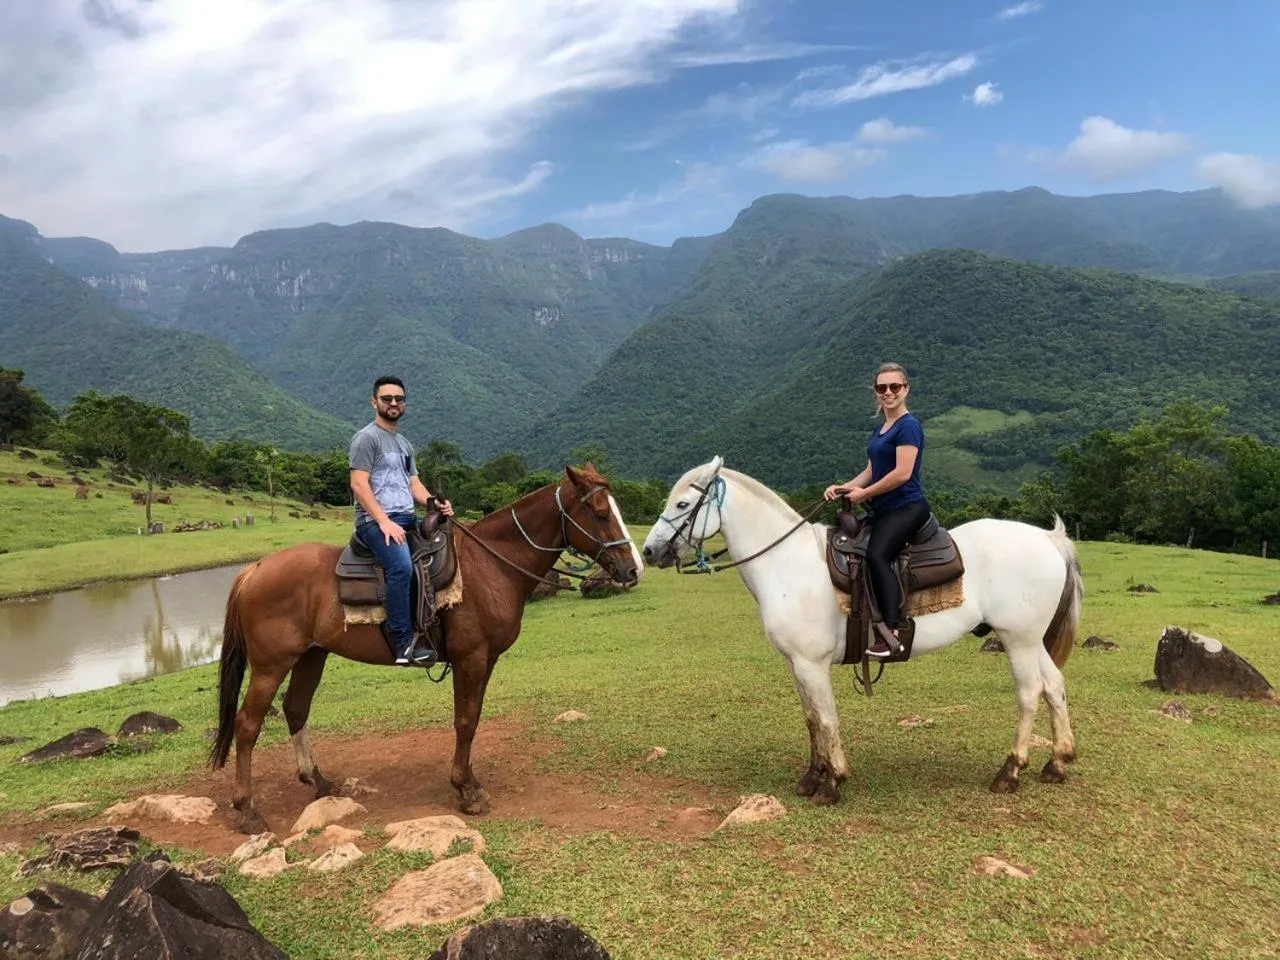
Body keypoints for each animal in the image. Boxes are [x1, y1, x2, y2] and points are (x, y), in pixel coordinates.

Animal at [210, 465, 643, 831]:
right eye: (601, 513)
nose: (633, 569)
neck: (491, 565)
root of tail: (253, 569)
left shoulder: (486, 660)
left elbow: (472, 717)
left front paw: (470, 781)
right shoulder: (471, 657)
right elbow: (465, 721)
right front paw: (465, 792)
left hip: (311, 655)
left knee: (296, 709)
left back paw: (319, 783)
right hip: (271, 664)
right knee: (247, 725)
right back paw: (247, 810)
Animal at [641, 456, 1083, 804]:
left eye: (683, 503)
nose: (648, 551)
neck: (787, 564)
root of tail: (1050, 538)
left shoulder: (812, 663)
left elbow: (826, 719)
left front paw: (833, 782)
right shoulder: (796, 664)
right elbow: (811, 718)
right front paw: (811, 777)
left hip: (1017, 639)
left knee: (1029, 694)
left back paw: (1010, 771)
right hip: (1031, 641)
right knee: (1054, 687)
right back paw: (1057, 763)